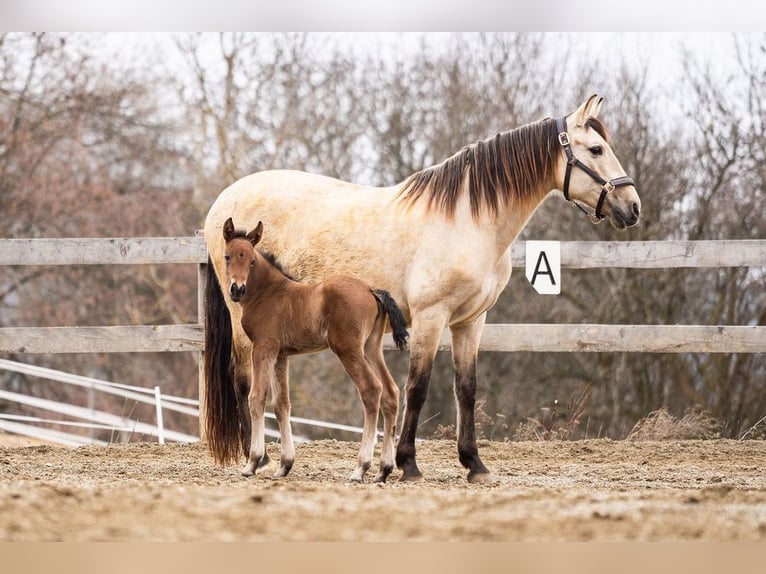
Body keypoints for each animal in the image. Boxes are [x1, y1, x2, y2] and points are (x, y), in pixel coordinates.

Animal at [216, 217, 409, 483]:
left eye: (251, 260)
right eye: (228, 257)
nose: (237, 289)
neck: (267, 293)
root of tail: (371, 290)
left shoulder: (263, 347)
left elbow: (256, 398)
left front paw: (253, 463)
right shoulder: (280, 355)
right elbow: (281, 404)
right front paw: (284, 466)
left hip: (348, 349)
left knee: (372, 390)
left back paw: (361, 468)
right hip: (371, 348)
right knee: (390, 392)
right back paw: (384, 470)